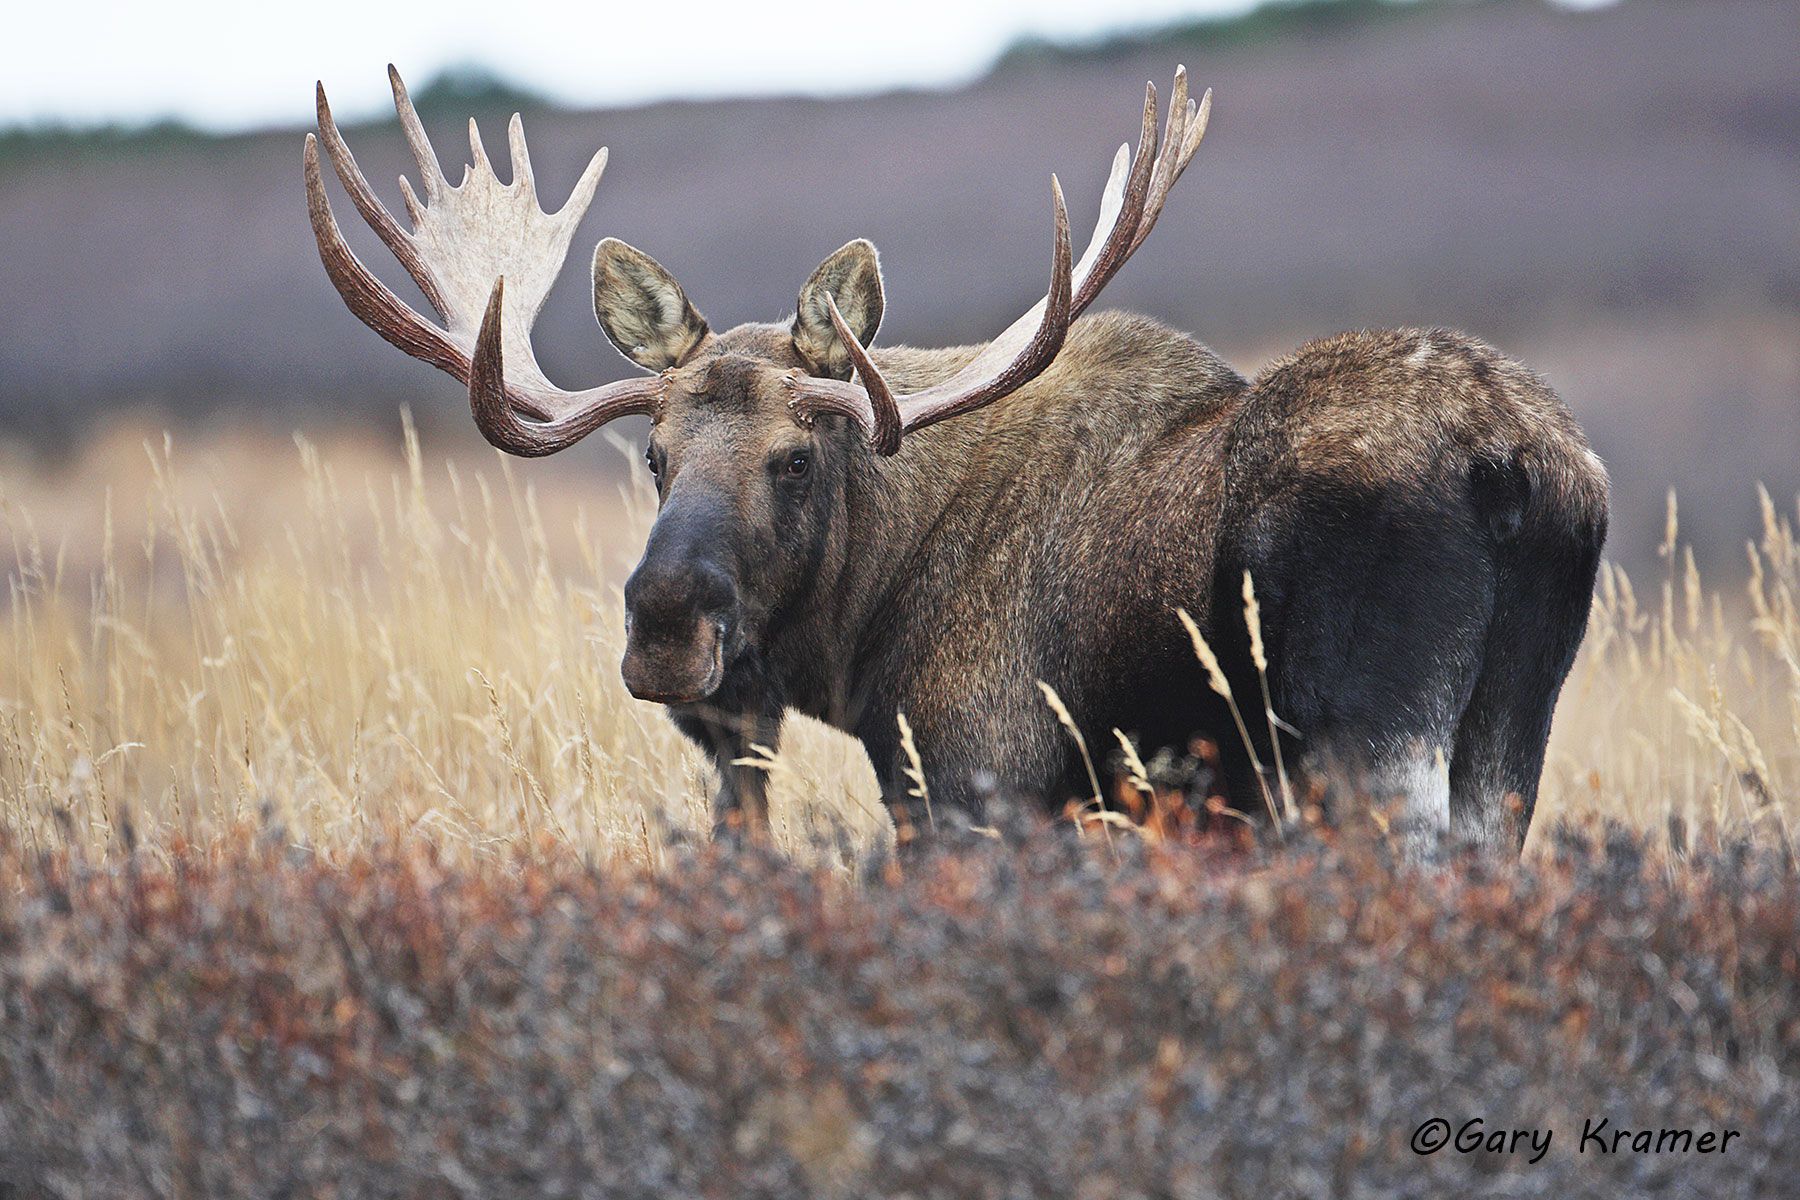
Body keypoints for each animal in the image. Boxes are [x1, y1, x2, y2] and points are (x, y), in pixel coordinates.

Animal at [304, 66, 1608, 853]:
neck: (859, 627)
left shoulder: (974, 784)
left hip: (1364, 746)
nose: (667, 627)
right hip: (1503, 753)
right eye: (655, 457)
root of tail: (1517, 465)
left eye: (796, 458)